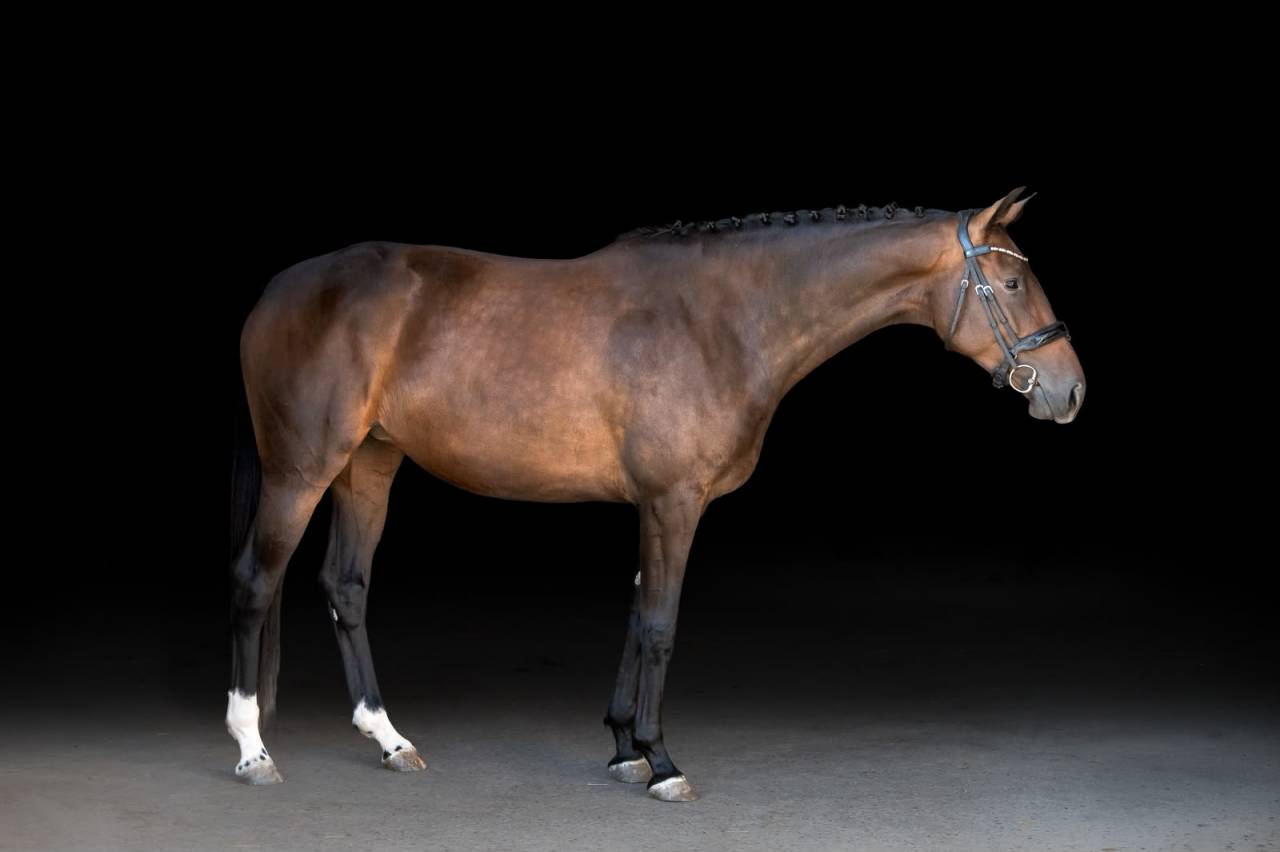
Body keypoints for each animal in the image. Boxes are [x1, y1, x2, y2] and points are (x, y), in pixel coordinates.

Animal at [227, 187, 1084, 801]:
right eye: (1012, 280)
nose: (1070, 391)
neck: (721, 319)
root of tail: (274, 291)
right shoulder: (675, 500)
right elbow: (662, 627)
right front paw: (662, 759)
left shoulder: (653, 504)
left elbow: (638, 617)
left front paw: (622, 749)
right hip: (301, 471)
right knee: (254, 584)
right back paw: (252, 749)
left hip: (370, 464)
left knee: (346, 587)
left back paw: (391, 741)